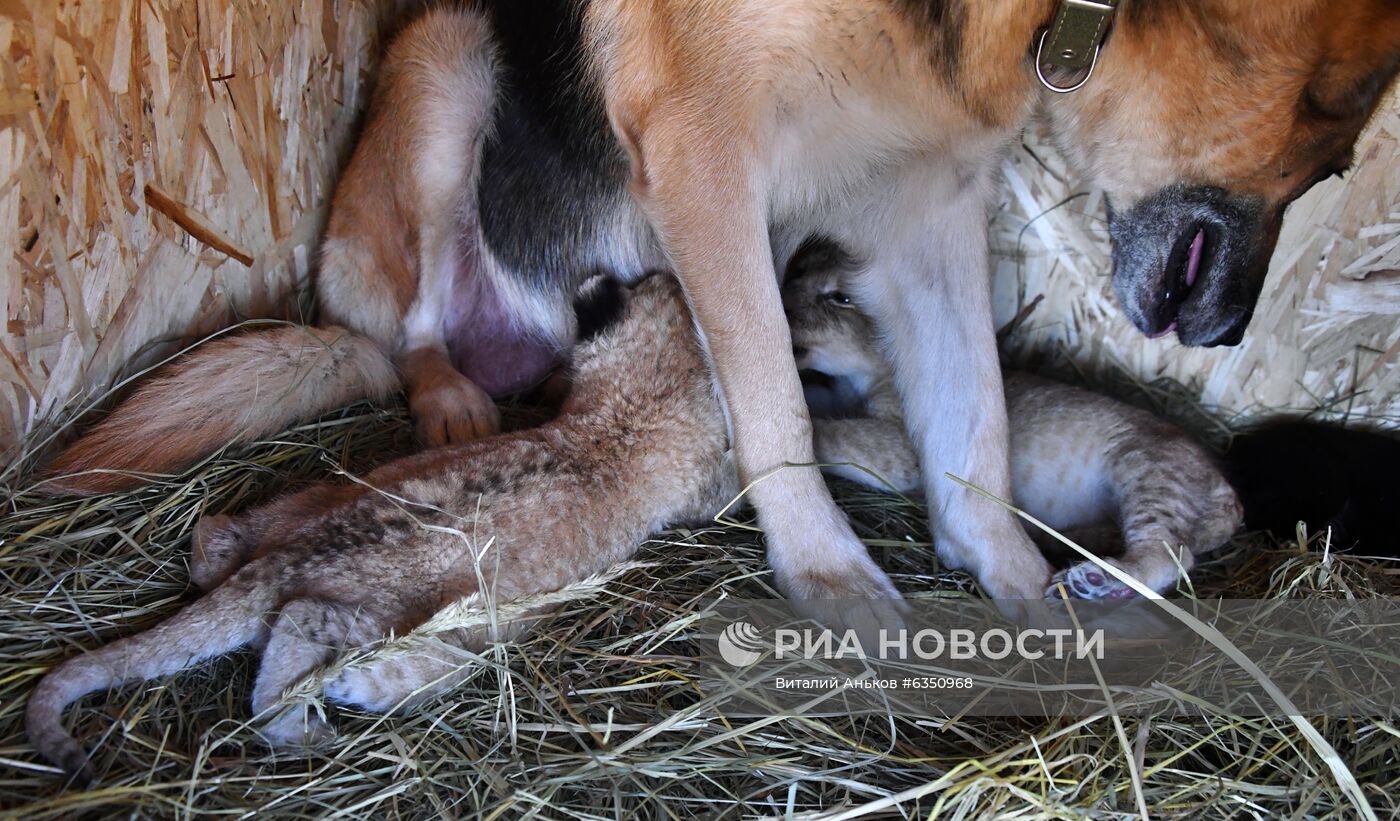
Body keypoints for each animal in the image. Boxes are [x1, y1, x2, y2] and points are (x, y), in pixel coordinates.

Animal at [43, 1, 1400, 627]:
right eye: (1337, 141)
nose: (1226, 338)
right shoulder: (705, 161)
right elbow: (772, 404)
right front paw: (825, 570)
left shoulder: (932, 208)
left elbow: (972, 423)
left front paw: (1013, 580)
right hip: (445, 67)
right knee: (407, 330)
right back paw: (446, 395)